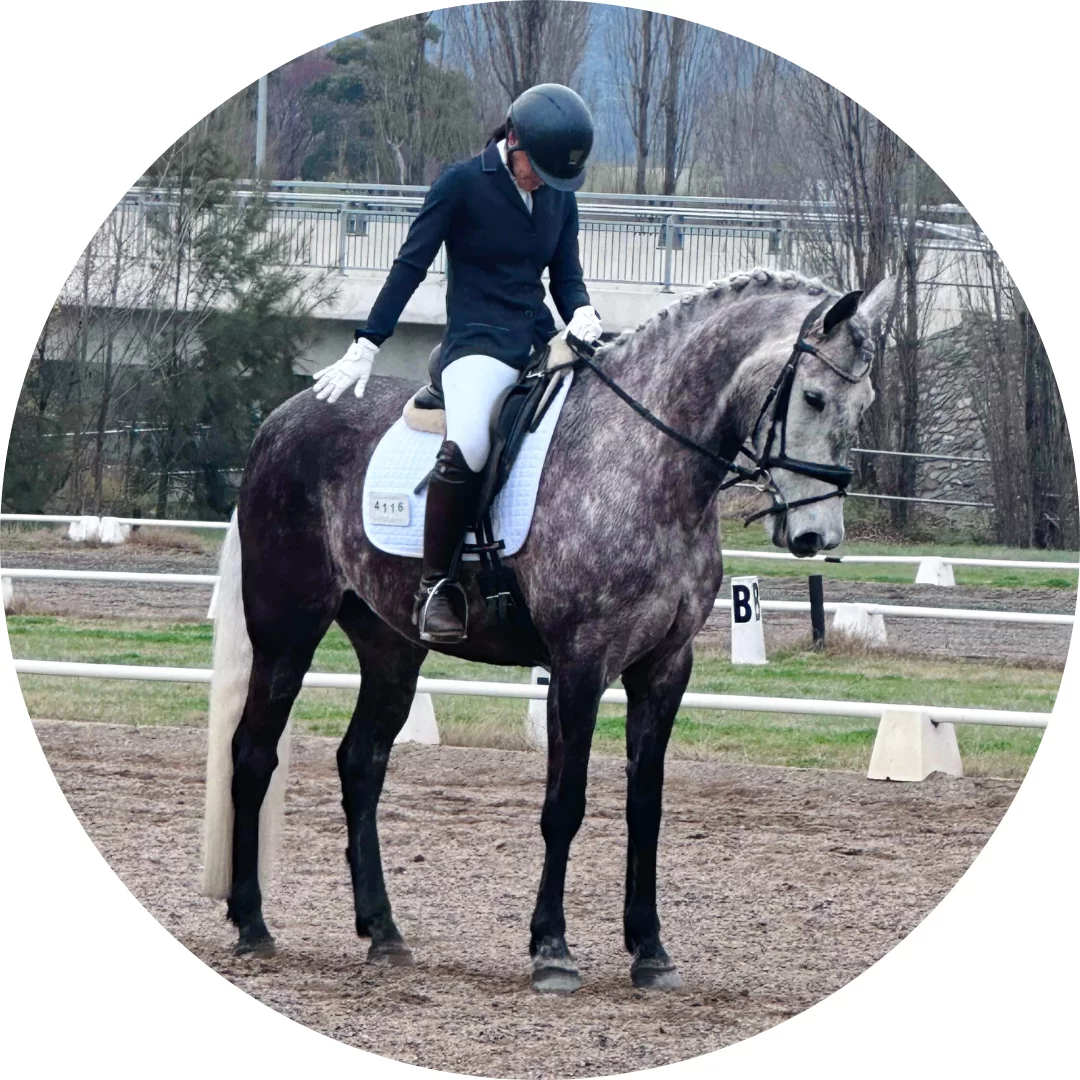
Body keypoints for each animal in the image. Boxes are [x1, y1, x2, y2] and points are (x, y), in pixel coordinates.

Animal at [202, 267, 891, 992]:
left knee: (361, 763)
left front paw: (651, 951)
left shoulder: (665, 668)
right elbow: (565, 804)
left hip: (392, 647)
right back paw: (252, 924)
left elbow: (646, 806)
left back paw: (383, 933)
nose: (818, 538)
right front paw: (552, 950)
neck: (650, 460)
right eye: (813, 397)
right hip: (288, 632)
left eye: (864, 402)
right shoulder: (580, 664)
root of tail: (283, 418)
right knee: (252, 753)